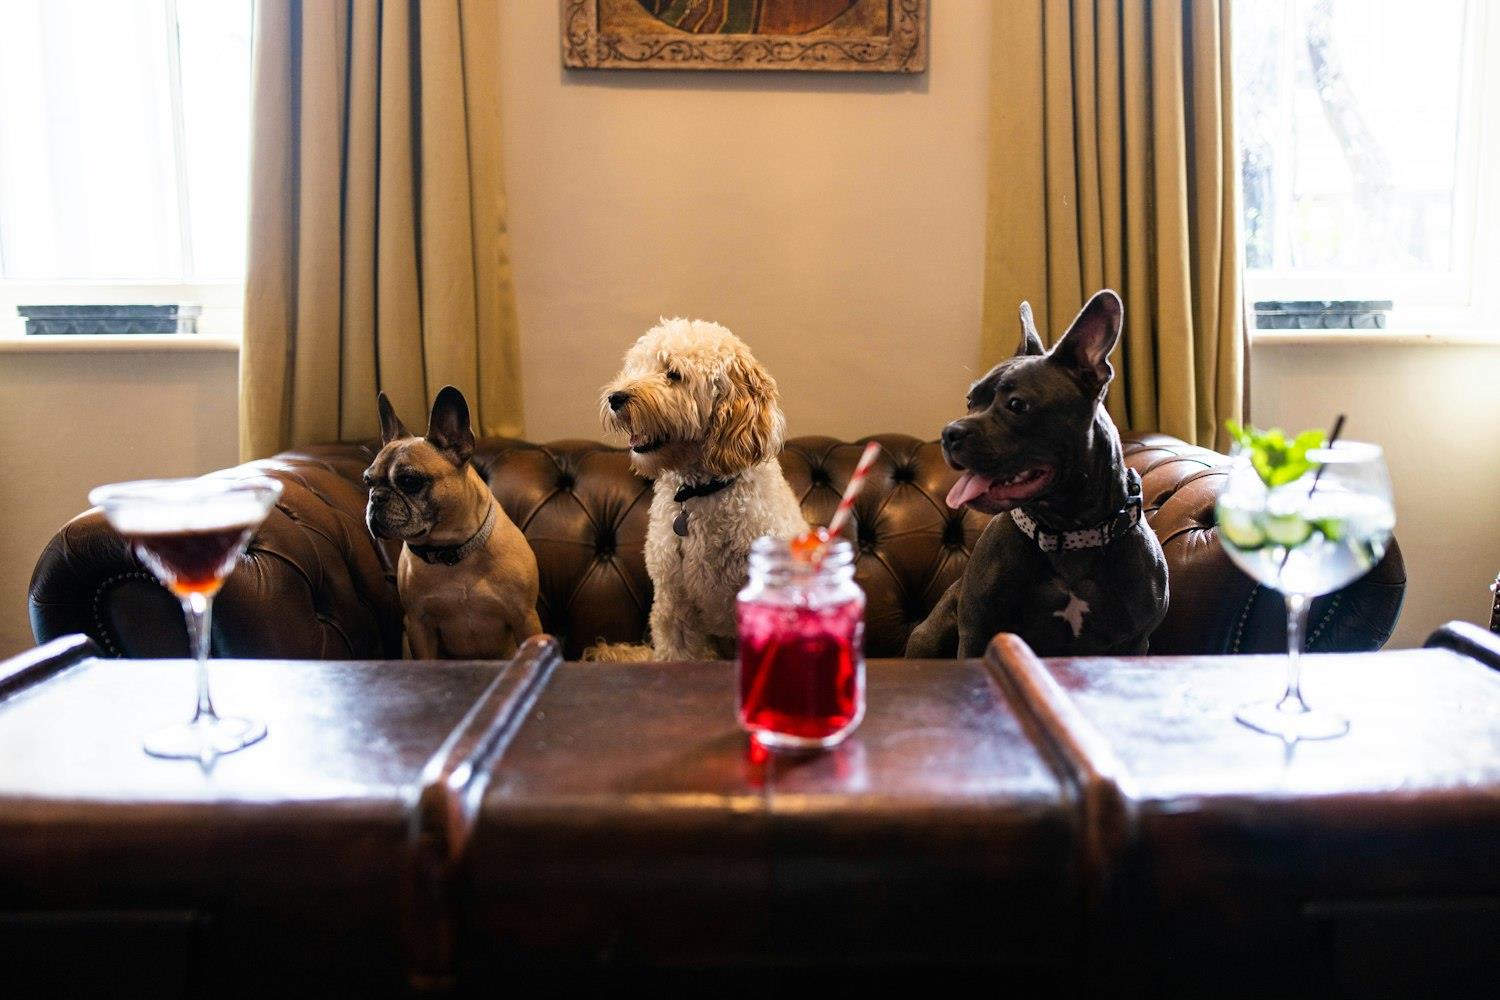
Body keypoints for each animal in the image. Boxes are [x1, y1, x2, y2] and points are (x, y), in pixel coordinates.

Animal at [906, 289, 1164, 659]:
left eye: (1016, 405)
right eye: (970, 400)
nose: (949, 433)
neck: (1069, 531)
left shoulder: (1133, 643)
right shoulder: (977, 635)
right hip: (931, 634)